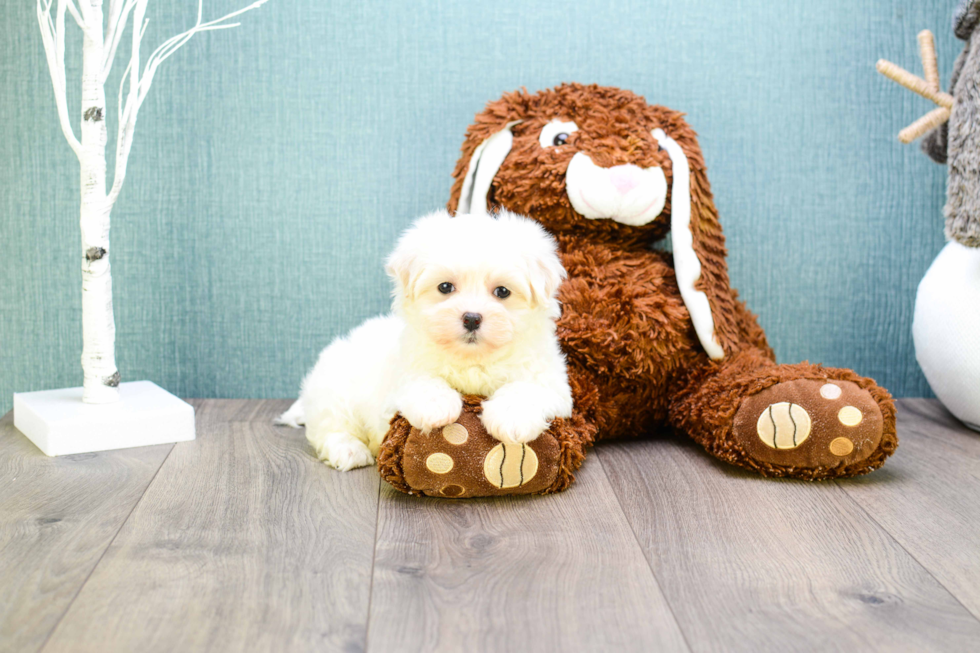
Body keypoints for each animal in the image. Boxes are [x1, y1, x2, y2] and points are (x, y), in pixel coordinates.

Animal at [276, 209, 576, 468]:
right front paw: (436, 406)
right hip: (335, 393)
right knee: (331, 428)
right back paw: (349, 450)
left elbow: (526, 388)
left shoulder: (552, 382)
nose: (471, 318)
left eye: (502, 291)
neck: (473, 360)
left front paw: (511, 418)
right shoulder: (402, 376)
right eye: (445, 287)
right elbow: (423, 381)